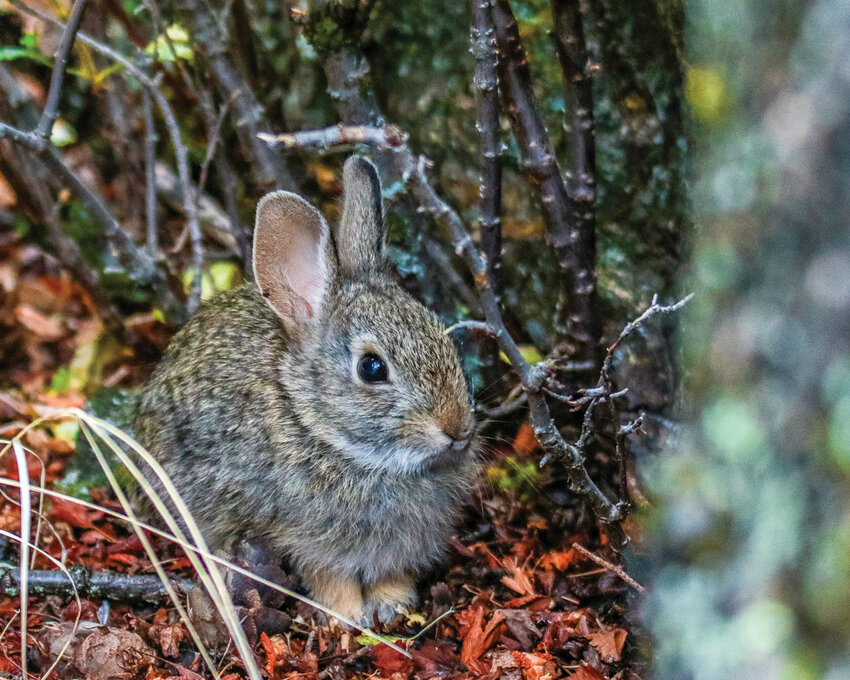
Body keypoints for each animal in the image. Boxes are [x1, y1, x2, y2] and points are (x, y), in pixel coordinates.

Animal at [133, 156, 479, 624]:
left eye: (440, 332)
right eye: (372, 368)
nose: (457, 429)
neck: (317, 427)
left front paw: (393, 605)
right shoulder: (305, 536)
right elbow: (329, 578)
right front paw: (349, 617)